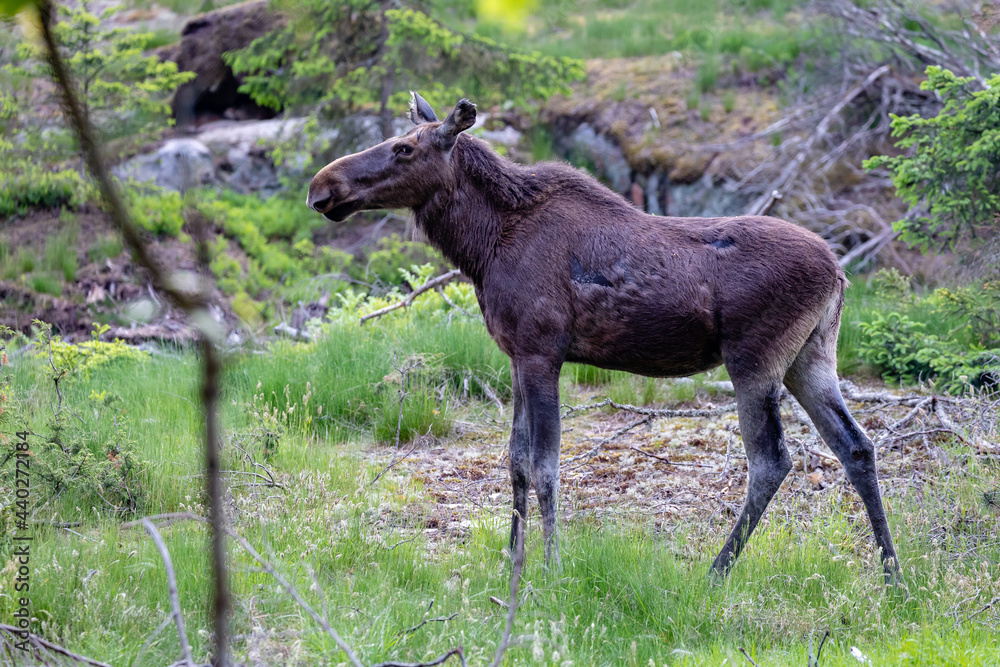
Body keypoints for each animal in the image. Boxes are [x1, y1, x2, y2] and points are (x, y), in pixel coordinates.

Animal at [307, 93, 900, 582]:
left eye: (404, 147)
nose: (321, 187)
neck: (482, 246)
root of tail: (839, 272)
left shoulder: (542, 351)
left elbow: (545, 467)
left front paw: (550, 570)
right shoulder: (517, 355)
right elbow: (515, 462)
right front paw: (512, 561)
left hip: (754, 361)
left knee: (772, 461)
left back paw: (715, 573)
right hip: (810, 357)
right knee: (856, 446)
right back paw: (892, 575)